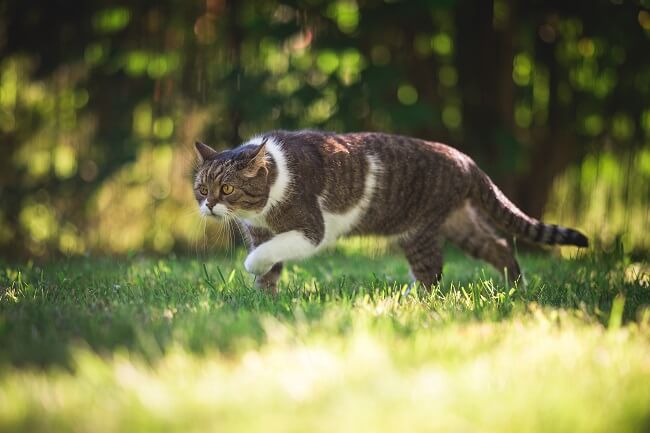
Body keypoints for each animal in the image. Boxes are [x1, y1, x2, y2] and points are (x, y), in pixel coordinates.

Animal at [192, 128, 588, 290]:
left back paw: (410, 302)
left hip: (419, 229)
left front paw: (252, 267)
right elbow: (270, 269)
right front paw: (266, 298)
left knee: (432, 273)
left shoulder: (310, 230)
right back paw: (516, 288)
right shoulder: (259, 232)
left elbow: (269, 253)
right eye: (201, 188)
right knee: (500, 246)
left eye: (227, 188)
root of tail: (466, 159)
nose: (209, 205)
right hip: (458, 221)